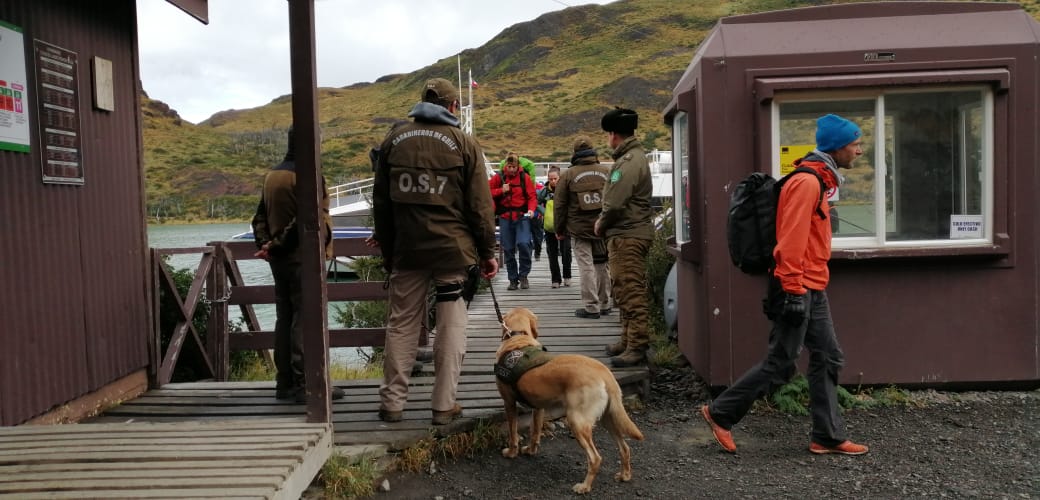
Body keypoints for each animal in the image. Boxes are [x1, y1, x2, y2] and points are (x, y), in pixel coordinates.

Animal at [492, 305, 640, 492]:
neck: (519, 337)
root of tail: (604, 373)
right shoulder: (538, 408)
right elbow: (535, 432)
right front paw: (531, 451)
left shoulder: (509, 403)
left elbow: (513, 434)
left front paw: (511, 453)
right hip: (609, 418)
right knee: (625, 448)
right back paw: (624, 475)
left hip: (577, 421)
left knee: (595, 458)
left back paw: (584, 487)